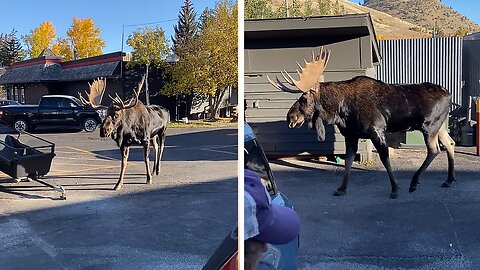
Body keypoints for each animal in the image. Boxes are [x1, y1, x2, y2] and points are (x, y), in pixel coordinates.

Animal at [268, 47, 456, 198]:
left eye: (304, 98)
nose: (290, 117)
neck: (339, 111)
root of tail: (449, 94)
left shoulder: (376, 130)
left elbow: (385, 158)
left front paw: (395, 188)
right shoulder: (351, 135)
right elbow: (348, 160)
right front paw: (342, 188)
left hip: (429, 126)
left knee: (434, 149)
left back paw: (414, 182)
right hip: (439, 126)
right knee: (450, 143)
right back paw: (448, 180)